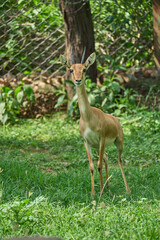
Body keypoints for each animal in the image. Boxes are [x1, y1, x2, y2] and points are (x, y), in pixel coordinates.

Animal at [59, 48, 130, 197]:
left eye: (84, 69)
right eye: (71, 69)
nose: (78, 80)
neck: (88, 118)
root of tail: (115, 120)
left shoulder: (101, 138)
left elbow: (99, 166)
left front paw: (100, 194)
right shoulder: (87, 142)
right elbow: (92, 166)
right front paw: (93, 193)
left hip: (118, 143)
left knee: (119, 160)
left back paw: (127, 190)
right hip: (97, 147)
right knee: (107, 157)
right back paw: (108, 187)